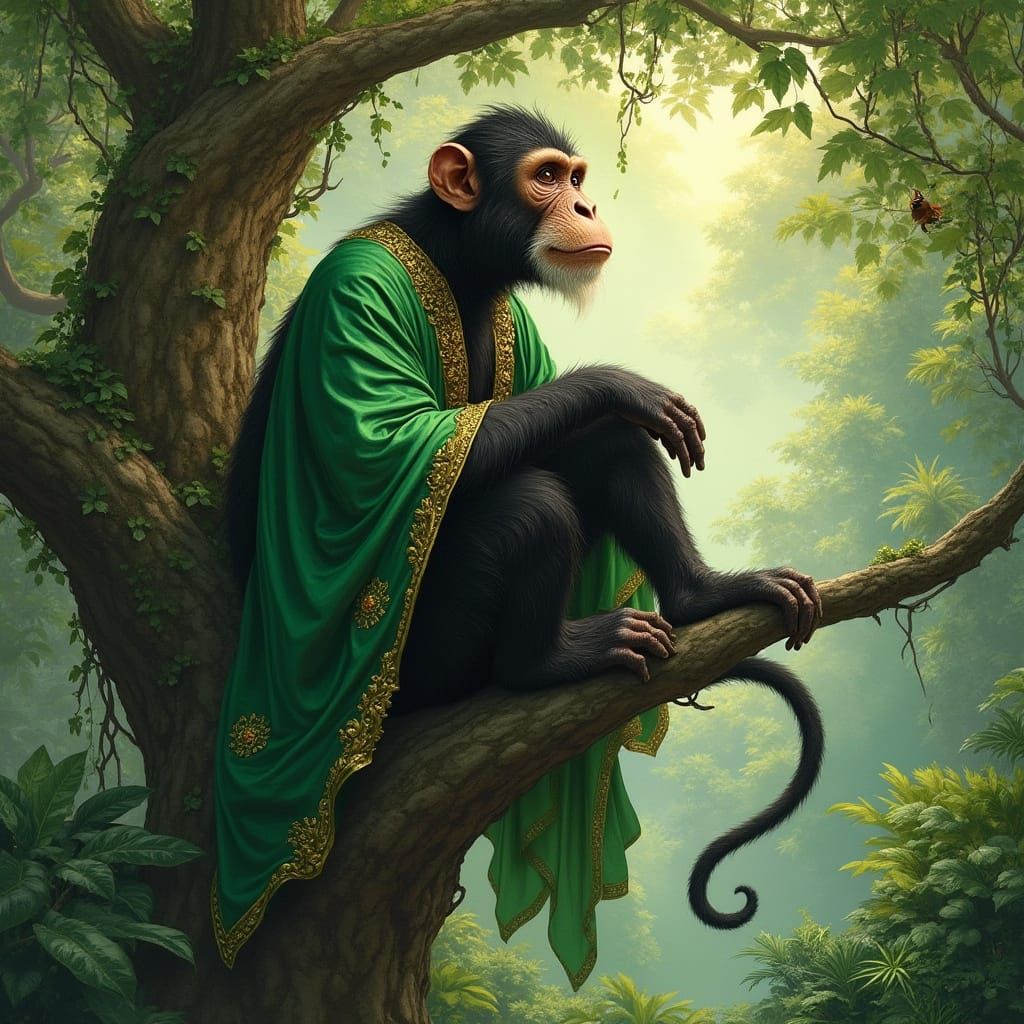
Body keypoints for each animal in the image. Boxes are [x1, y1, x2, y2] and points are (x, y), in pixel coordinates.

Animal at [222, 104, 825, 935]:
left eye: (575, 177)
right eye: (546, 178)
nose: (586, 205)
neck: (463, 261)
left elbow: (569, 428)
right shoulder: (357, 297)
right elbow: (404, 447)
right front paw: (622, 380)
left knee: (600, 443)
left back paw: (699, 596)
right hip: (431, 663)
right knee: (529, 502)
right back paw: (543, 661)